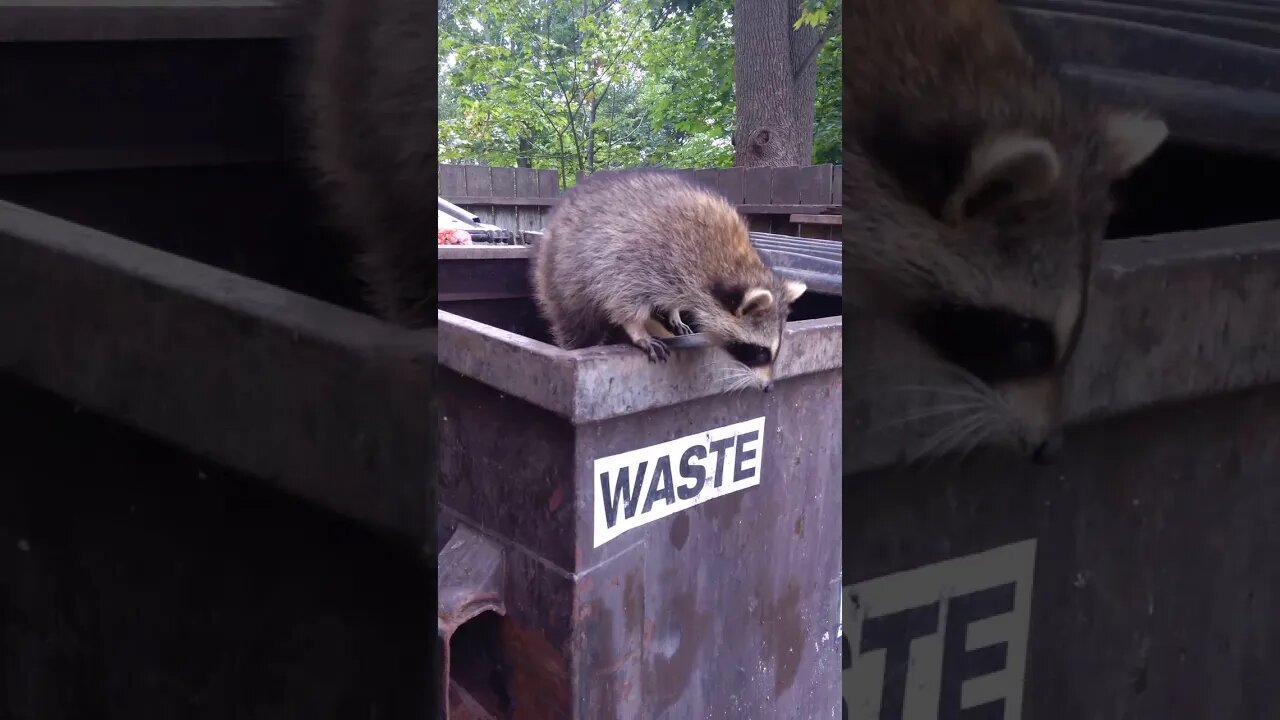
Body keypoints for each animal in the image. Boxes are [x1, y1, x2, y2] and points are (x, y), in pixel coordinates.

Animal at [535, 170, 803, 389]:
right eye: (759, 352)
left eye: (774, 351)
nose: (769, 387)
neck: (731, 264)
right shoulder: (639, 255)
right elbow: (620, 293)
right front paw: (636, 329)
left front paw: (674, 311)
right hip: (563, 273)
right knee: (577, 323)